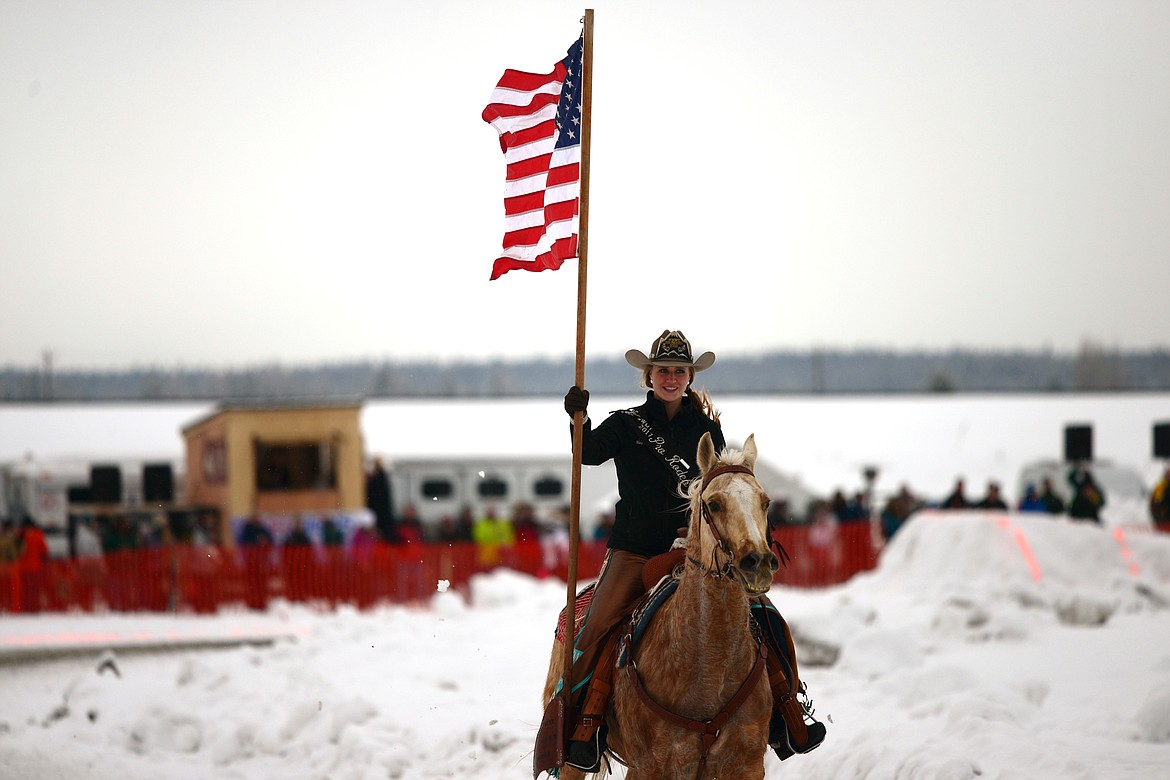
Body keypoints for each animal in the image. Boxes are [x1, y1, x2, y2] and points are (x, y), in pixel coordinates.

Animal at [542, 432, 781, 780]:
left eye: (765, 502)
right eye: (714, 504)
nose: (758, 562)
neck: (708, 666)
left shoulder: (745, 765)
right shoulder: (650, 766)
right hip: (572, 760)